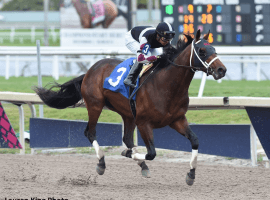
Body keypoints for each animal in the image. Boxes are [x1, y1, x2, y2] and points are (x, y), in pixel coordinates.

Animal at [34, 30, 227, 186]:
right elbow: (151, 153)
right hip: (95, 105)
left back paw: (142, 165)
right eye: (202, 51)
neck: (166, 85)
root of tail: (91, 69)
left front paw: (191, 175)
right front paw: (127, 154)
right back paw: (102, 163)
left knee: (127, 138)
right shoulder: (144, 123)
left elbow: (195, 141)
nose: (221, 70)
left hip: (127, 114)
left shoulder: (177, 120)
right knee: (90, 132)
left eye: (214, 48)